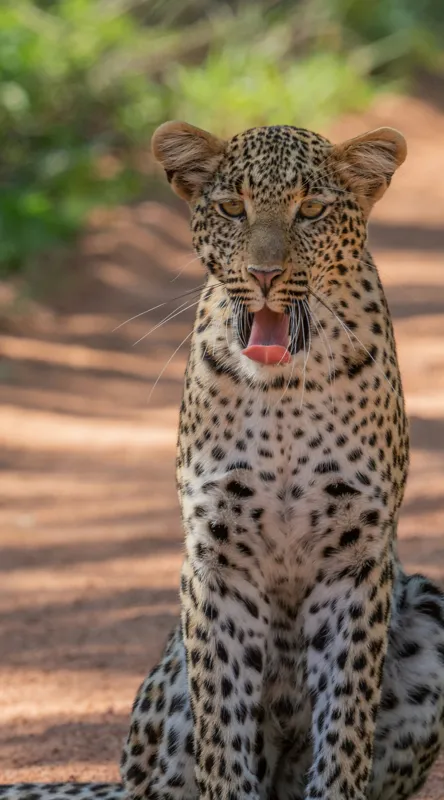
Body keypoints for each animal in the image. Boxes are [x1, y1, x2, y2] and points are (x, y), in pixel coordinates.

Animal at [2, 121, 444, 800]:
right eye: (233, 209)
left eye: (311, 211)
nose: (263, 274)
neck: (284, 390)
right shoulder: (217, 557)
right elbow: (224, 724)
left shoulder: (356, 560)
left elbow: (345, 724)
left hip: (428, 608)